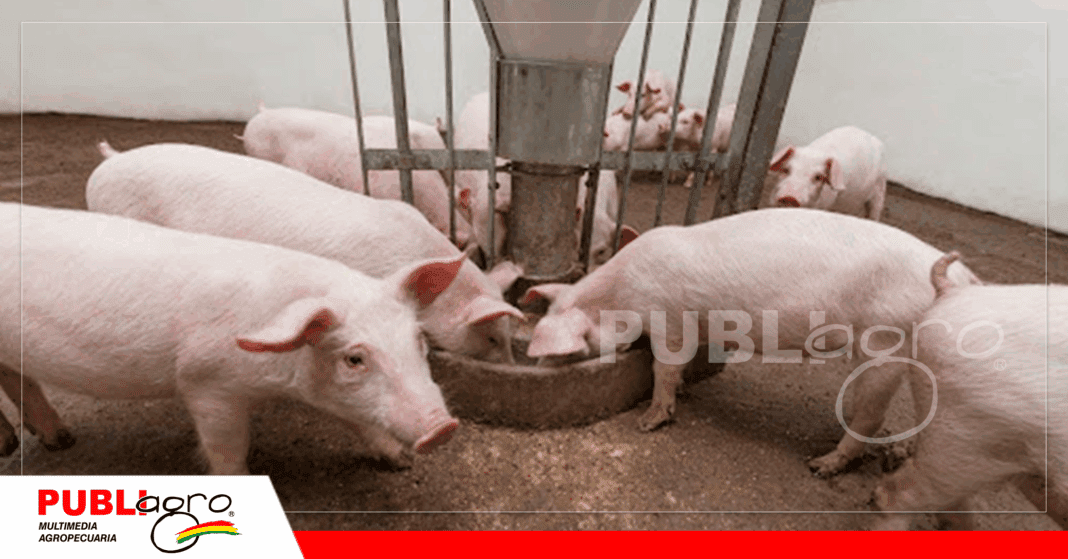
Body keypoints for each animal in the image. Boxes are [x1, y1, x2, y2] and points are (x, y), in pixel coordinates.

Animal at [0, 202, 465, 475]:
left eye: (419, 340)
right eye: (354, 359)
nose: (442, 428)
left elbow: (355, 417)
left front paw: (400, 461)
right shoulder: (206, 384)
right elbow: (227, 448)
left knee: (18, 378)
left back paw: (58, 441)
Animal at [521, 208, 982, 477]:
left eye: (570, 350)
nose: (536, 370)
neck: (621, 294)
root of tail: (964, 280)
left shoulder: (671, 319)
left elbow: (664, 367)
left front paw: (649, 421)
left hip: (885, 341)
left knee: (871, 415)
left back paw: (821, 466)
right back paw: (894, 457)